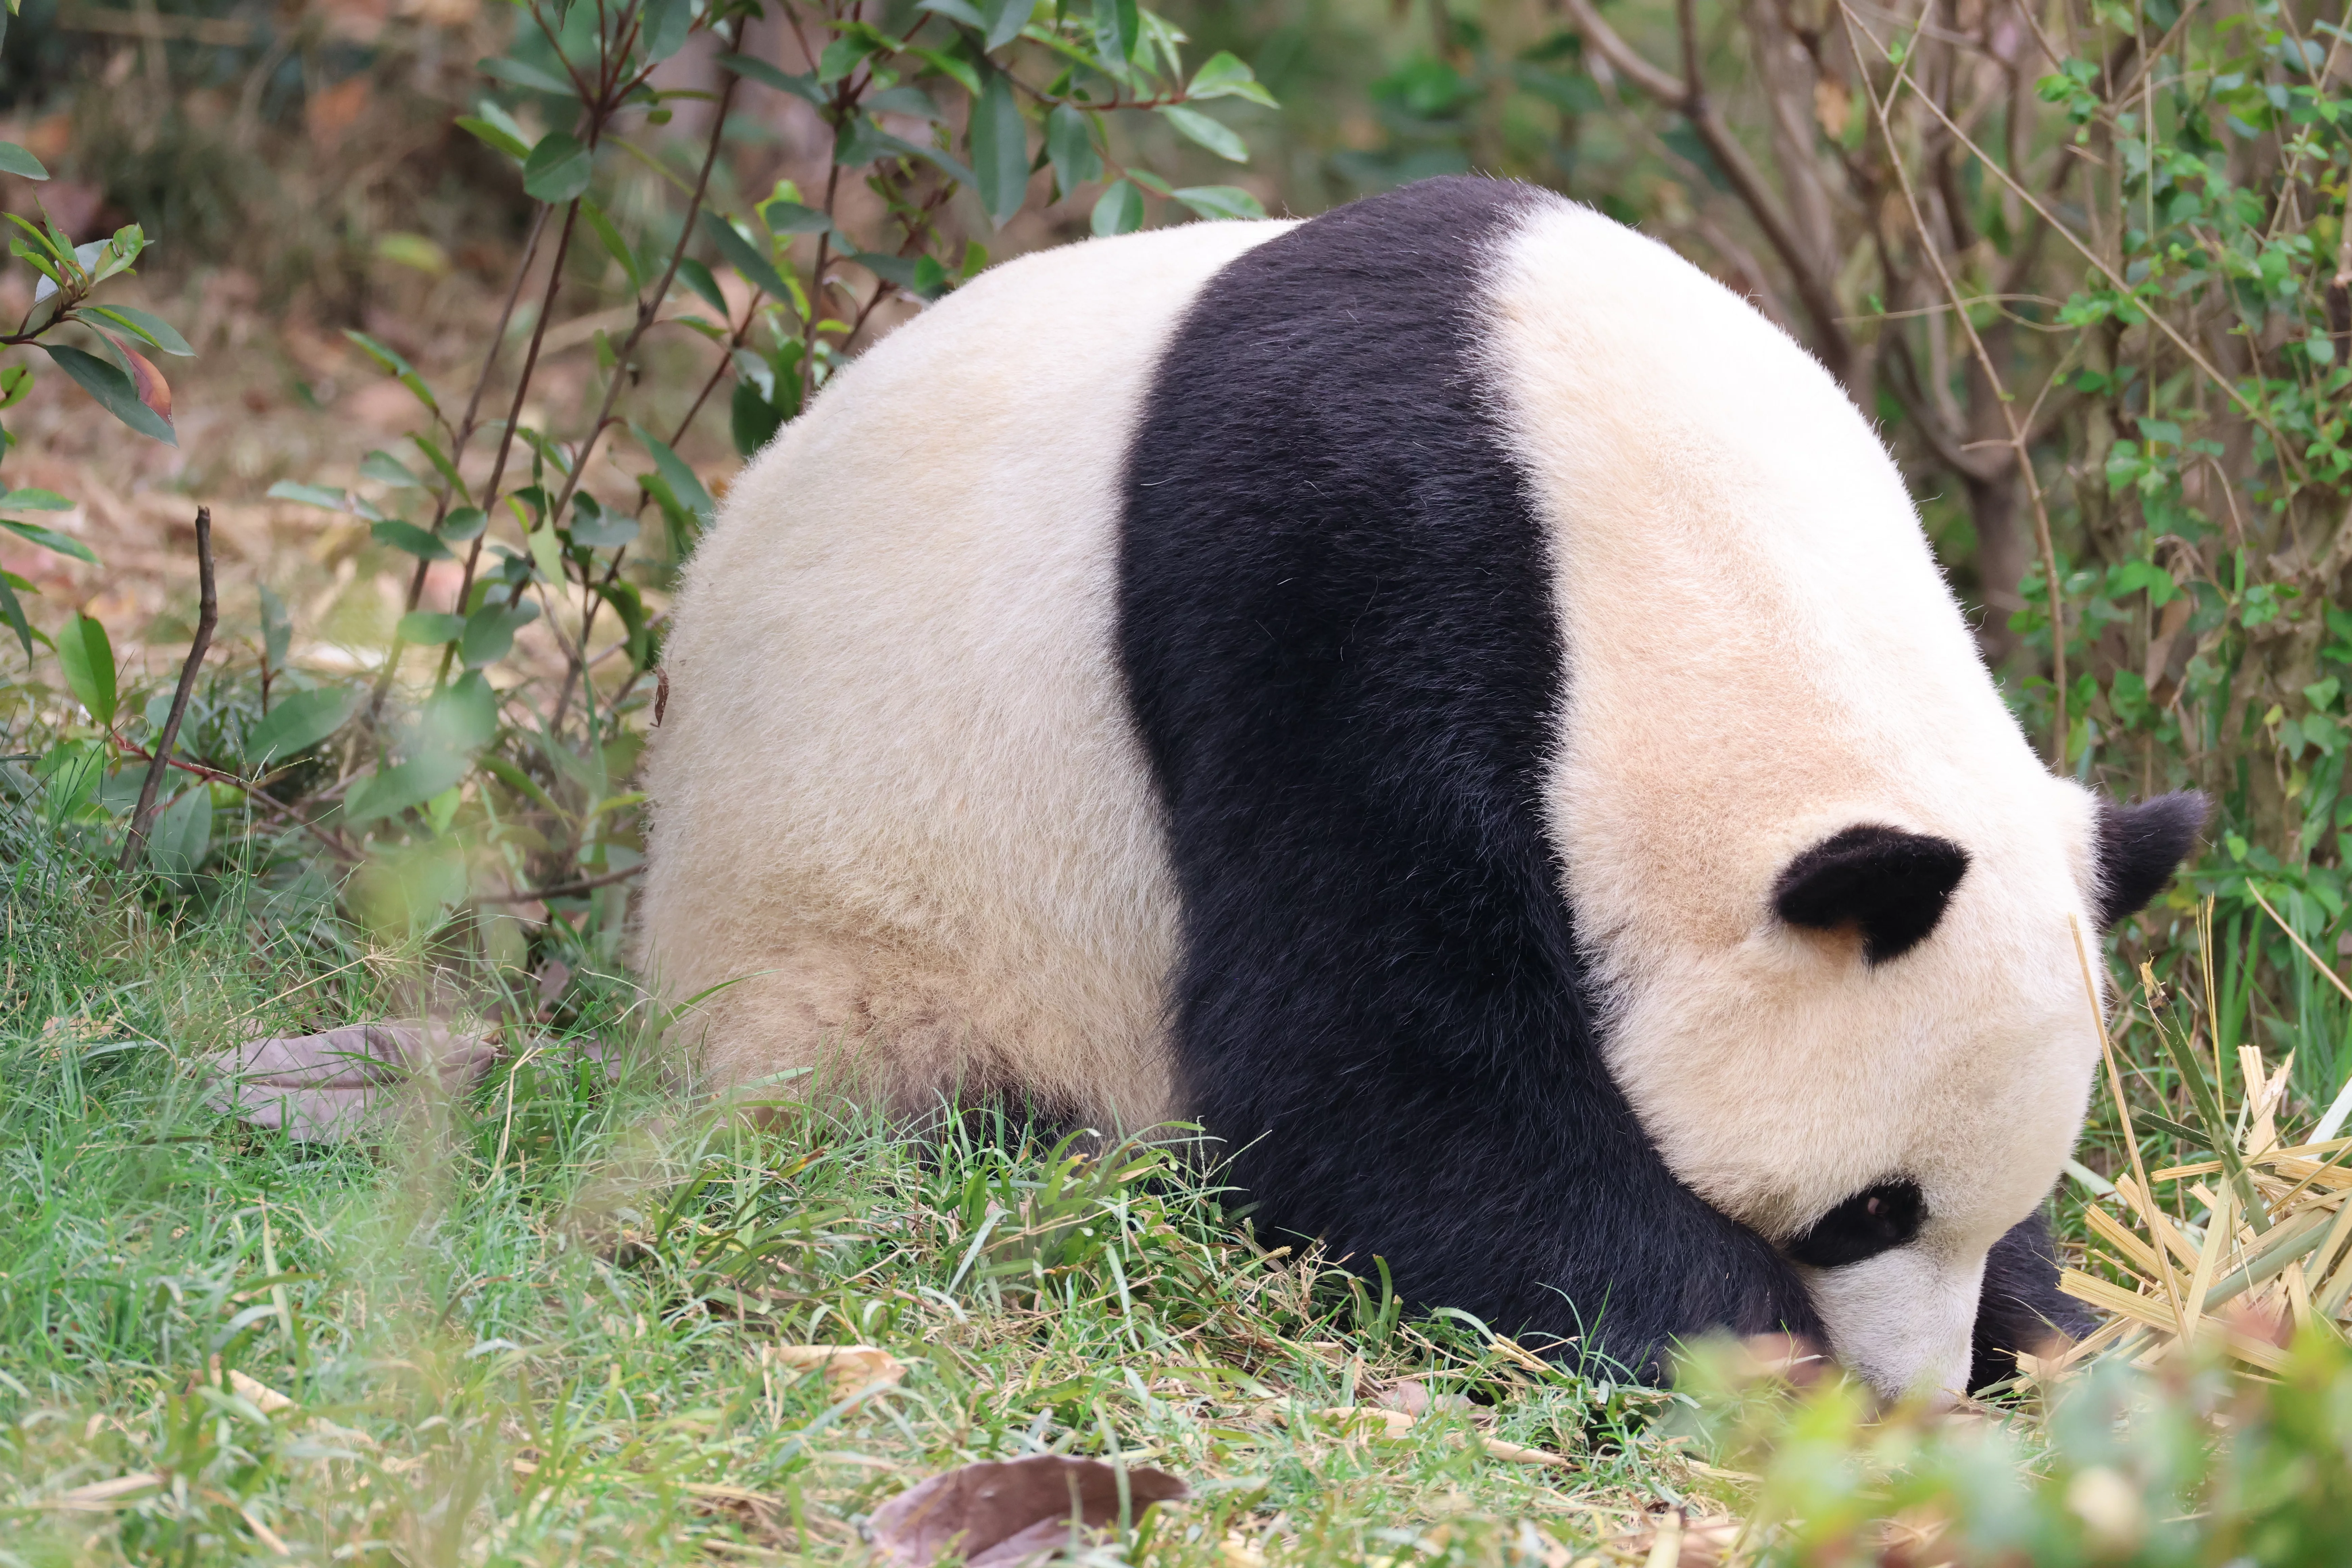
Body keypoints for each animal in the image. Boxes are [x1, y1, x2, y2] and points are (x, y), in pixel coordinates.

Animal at [639, 177, 2205, 1401]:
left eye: (1977, 1199)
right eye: (1864, 1207)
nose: (1916, 1384)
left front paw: (2048, 1321)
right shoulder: (1338, 572)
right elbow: (1379, 1054)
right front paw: (1736, 1348)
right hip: (868, 938)